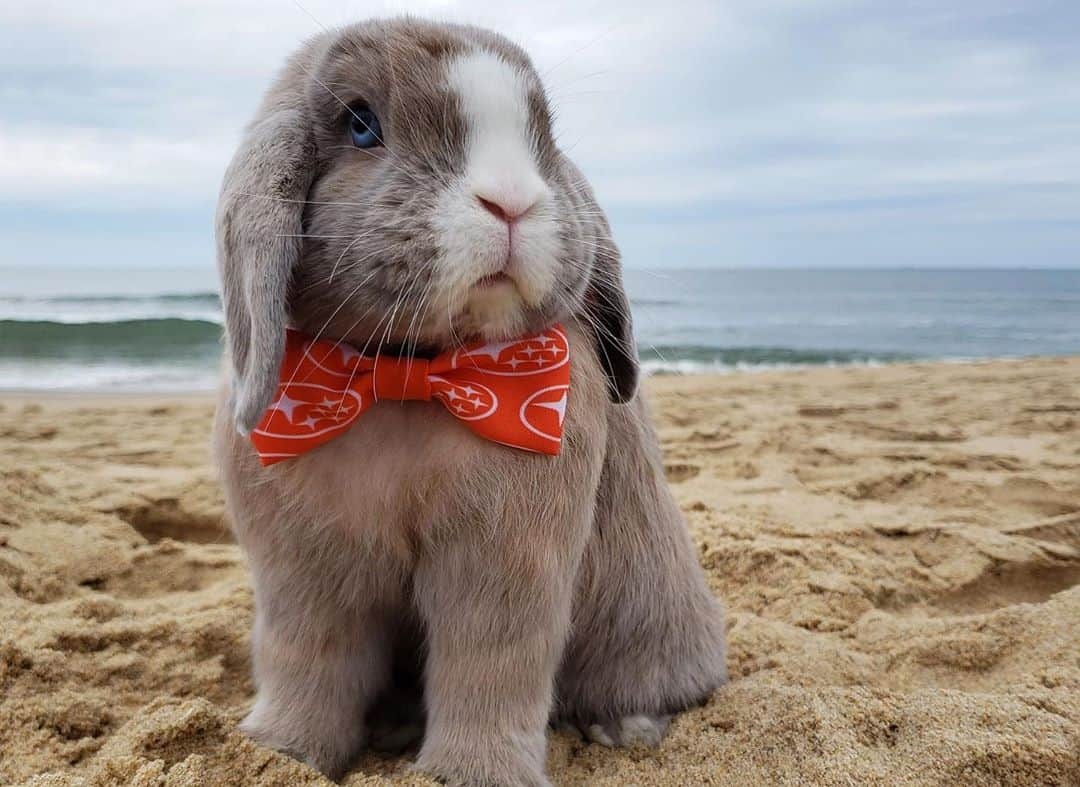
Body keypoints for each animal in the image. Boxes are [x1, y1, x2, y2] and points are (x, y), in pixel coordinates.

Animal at [212, 18, 725, 785]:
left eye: (544, 135)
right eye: (361, 123)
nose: (512, 200)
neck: (407, 375)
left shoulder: (505, 559)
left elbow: (489, 665)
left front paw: (471, 771)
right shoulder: (303, 570)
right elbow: (309, 659)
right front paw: (279, 749)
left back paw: (626, 727)